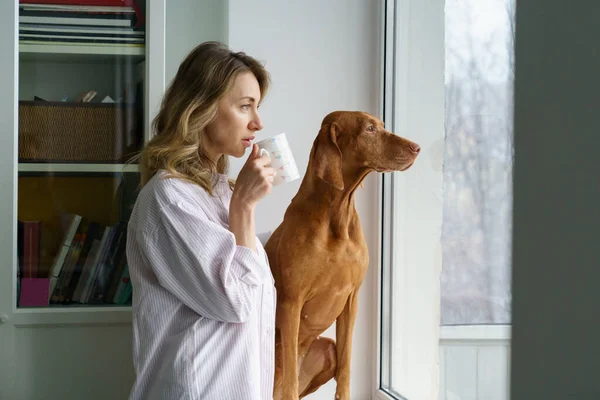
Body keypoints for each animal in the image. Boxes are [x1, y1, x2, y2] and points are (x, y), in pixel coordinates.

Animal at [264, 111, 420, 398]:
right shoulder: (291, 302)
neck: (336, 215)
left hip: (326, 347)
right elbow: (290, 376)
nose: (417, 148)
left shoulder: (351, 301)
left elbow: (346, 367)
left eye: (381, 125)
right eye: (369, 129)